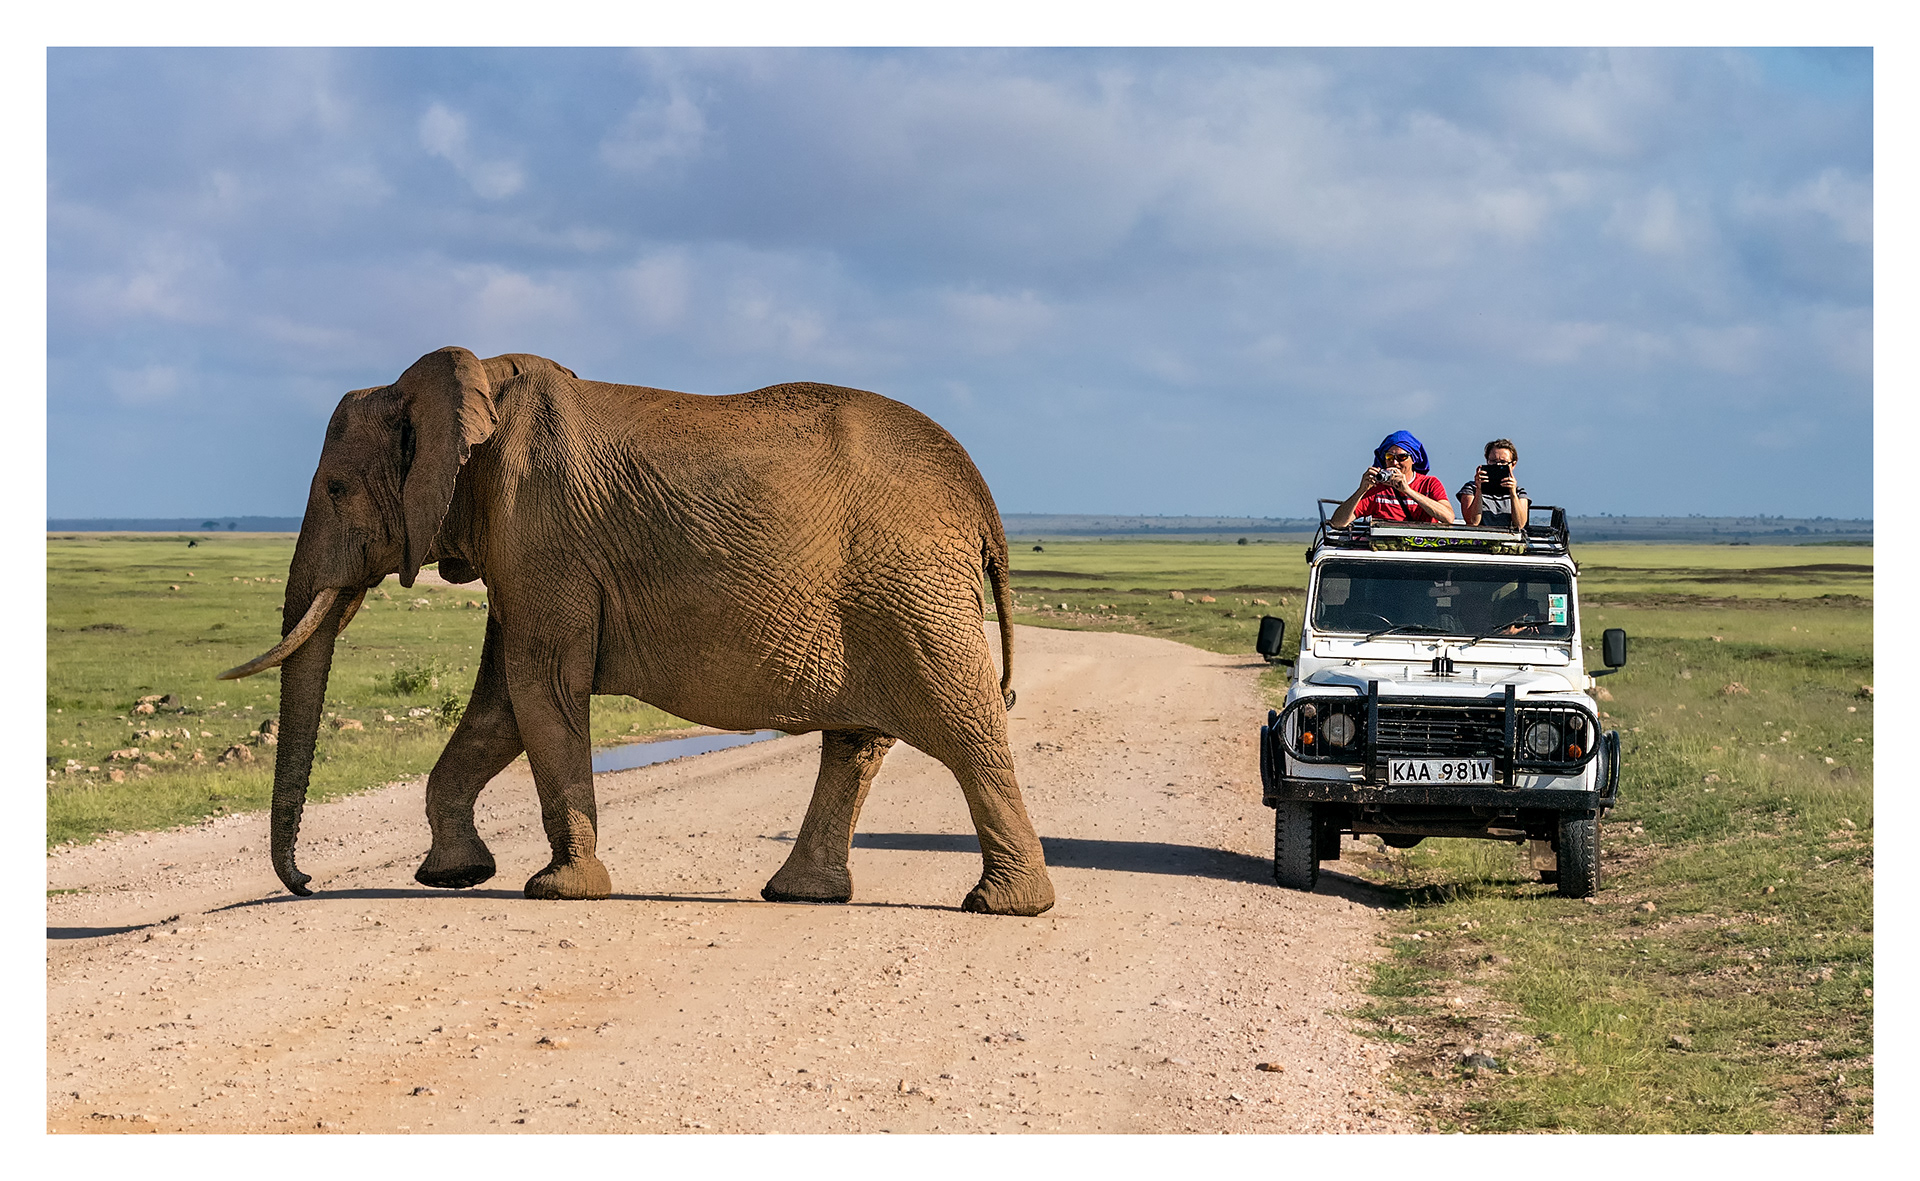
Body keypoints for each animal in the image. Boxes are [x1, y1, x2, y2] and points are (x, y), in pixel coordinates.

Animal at [226, 345, 1067, 917]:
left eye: (337, 488)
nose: (306, 883)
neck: (467, 384)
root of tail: (980, 494)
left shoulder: (541, 532)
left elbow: (539, 689)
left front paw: (557, 891)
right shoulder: (520, 549)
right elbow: (500, 707)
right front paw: (452, 877)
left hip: (910, 590)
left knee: (963, 725)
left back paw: (1002, 905)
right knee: (859, 740)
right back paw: (803, 894)